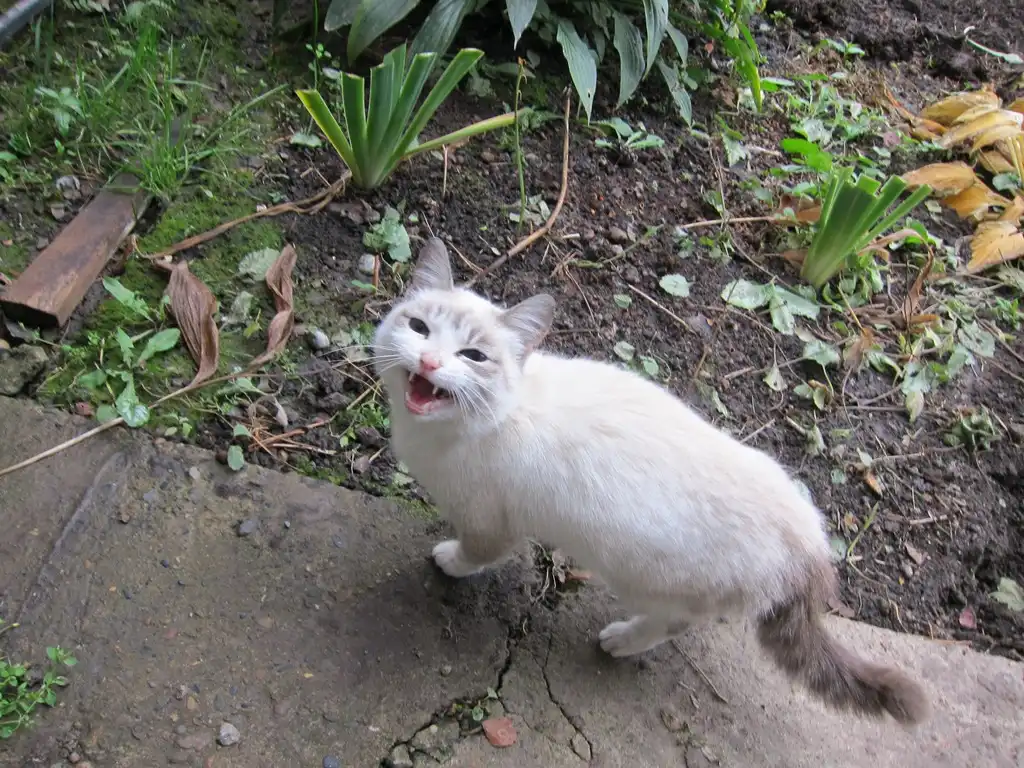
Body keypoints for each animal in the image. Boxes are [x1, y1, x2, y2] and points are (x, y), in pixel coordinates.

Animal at [372, 237, 928, 726]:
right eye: (418, 328)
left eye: (473, 357)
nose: (429, 362)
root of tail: (812, 547)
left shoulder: (491, 523)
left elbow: (475, 554)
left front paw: (449, 562)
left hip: (643, 578)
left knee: (673, 622)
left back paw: (620, 640)